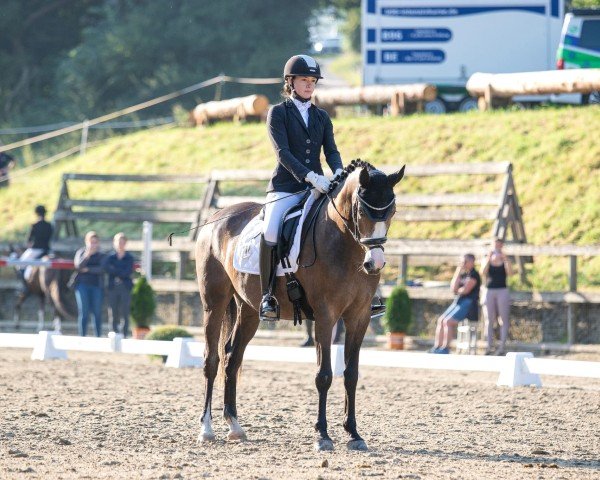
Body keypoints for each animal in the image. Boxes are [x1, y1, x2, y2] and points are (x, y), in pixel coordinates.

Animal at [196, 160, 404, 450]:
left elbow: (351, 374)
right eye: (362, 210)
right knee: (211, 360)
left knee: (231, 358)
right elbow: (324, 375)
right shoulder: (326, 316)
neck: (344, 245)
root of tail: (215, 218)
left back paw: (234, 426)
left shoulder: (359, 317)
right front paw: (322, 435)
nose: (375, 264)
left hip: (248, 310)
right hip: (213, 303)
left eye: (392, 211)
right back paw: (206, 429)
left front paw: (354, 434)